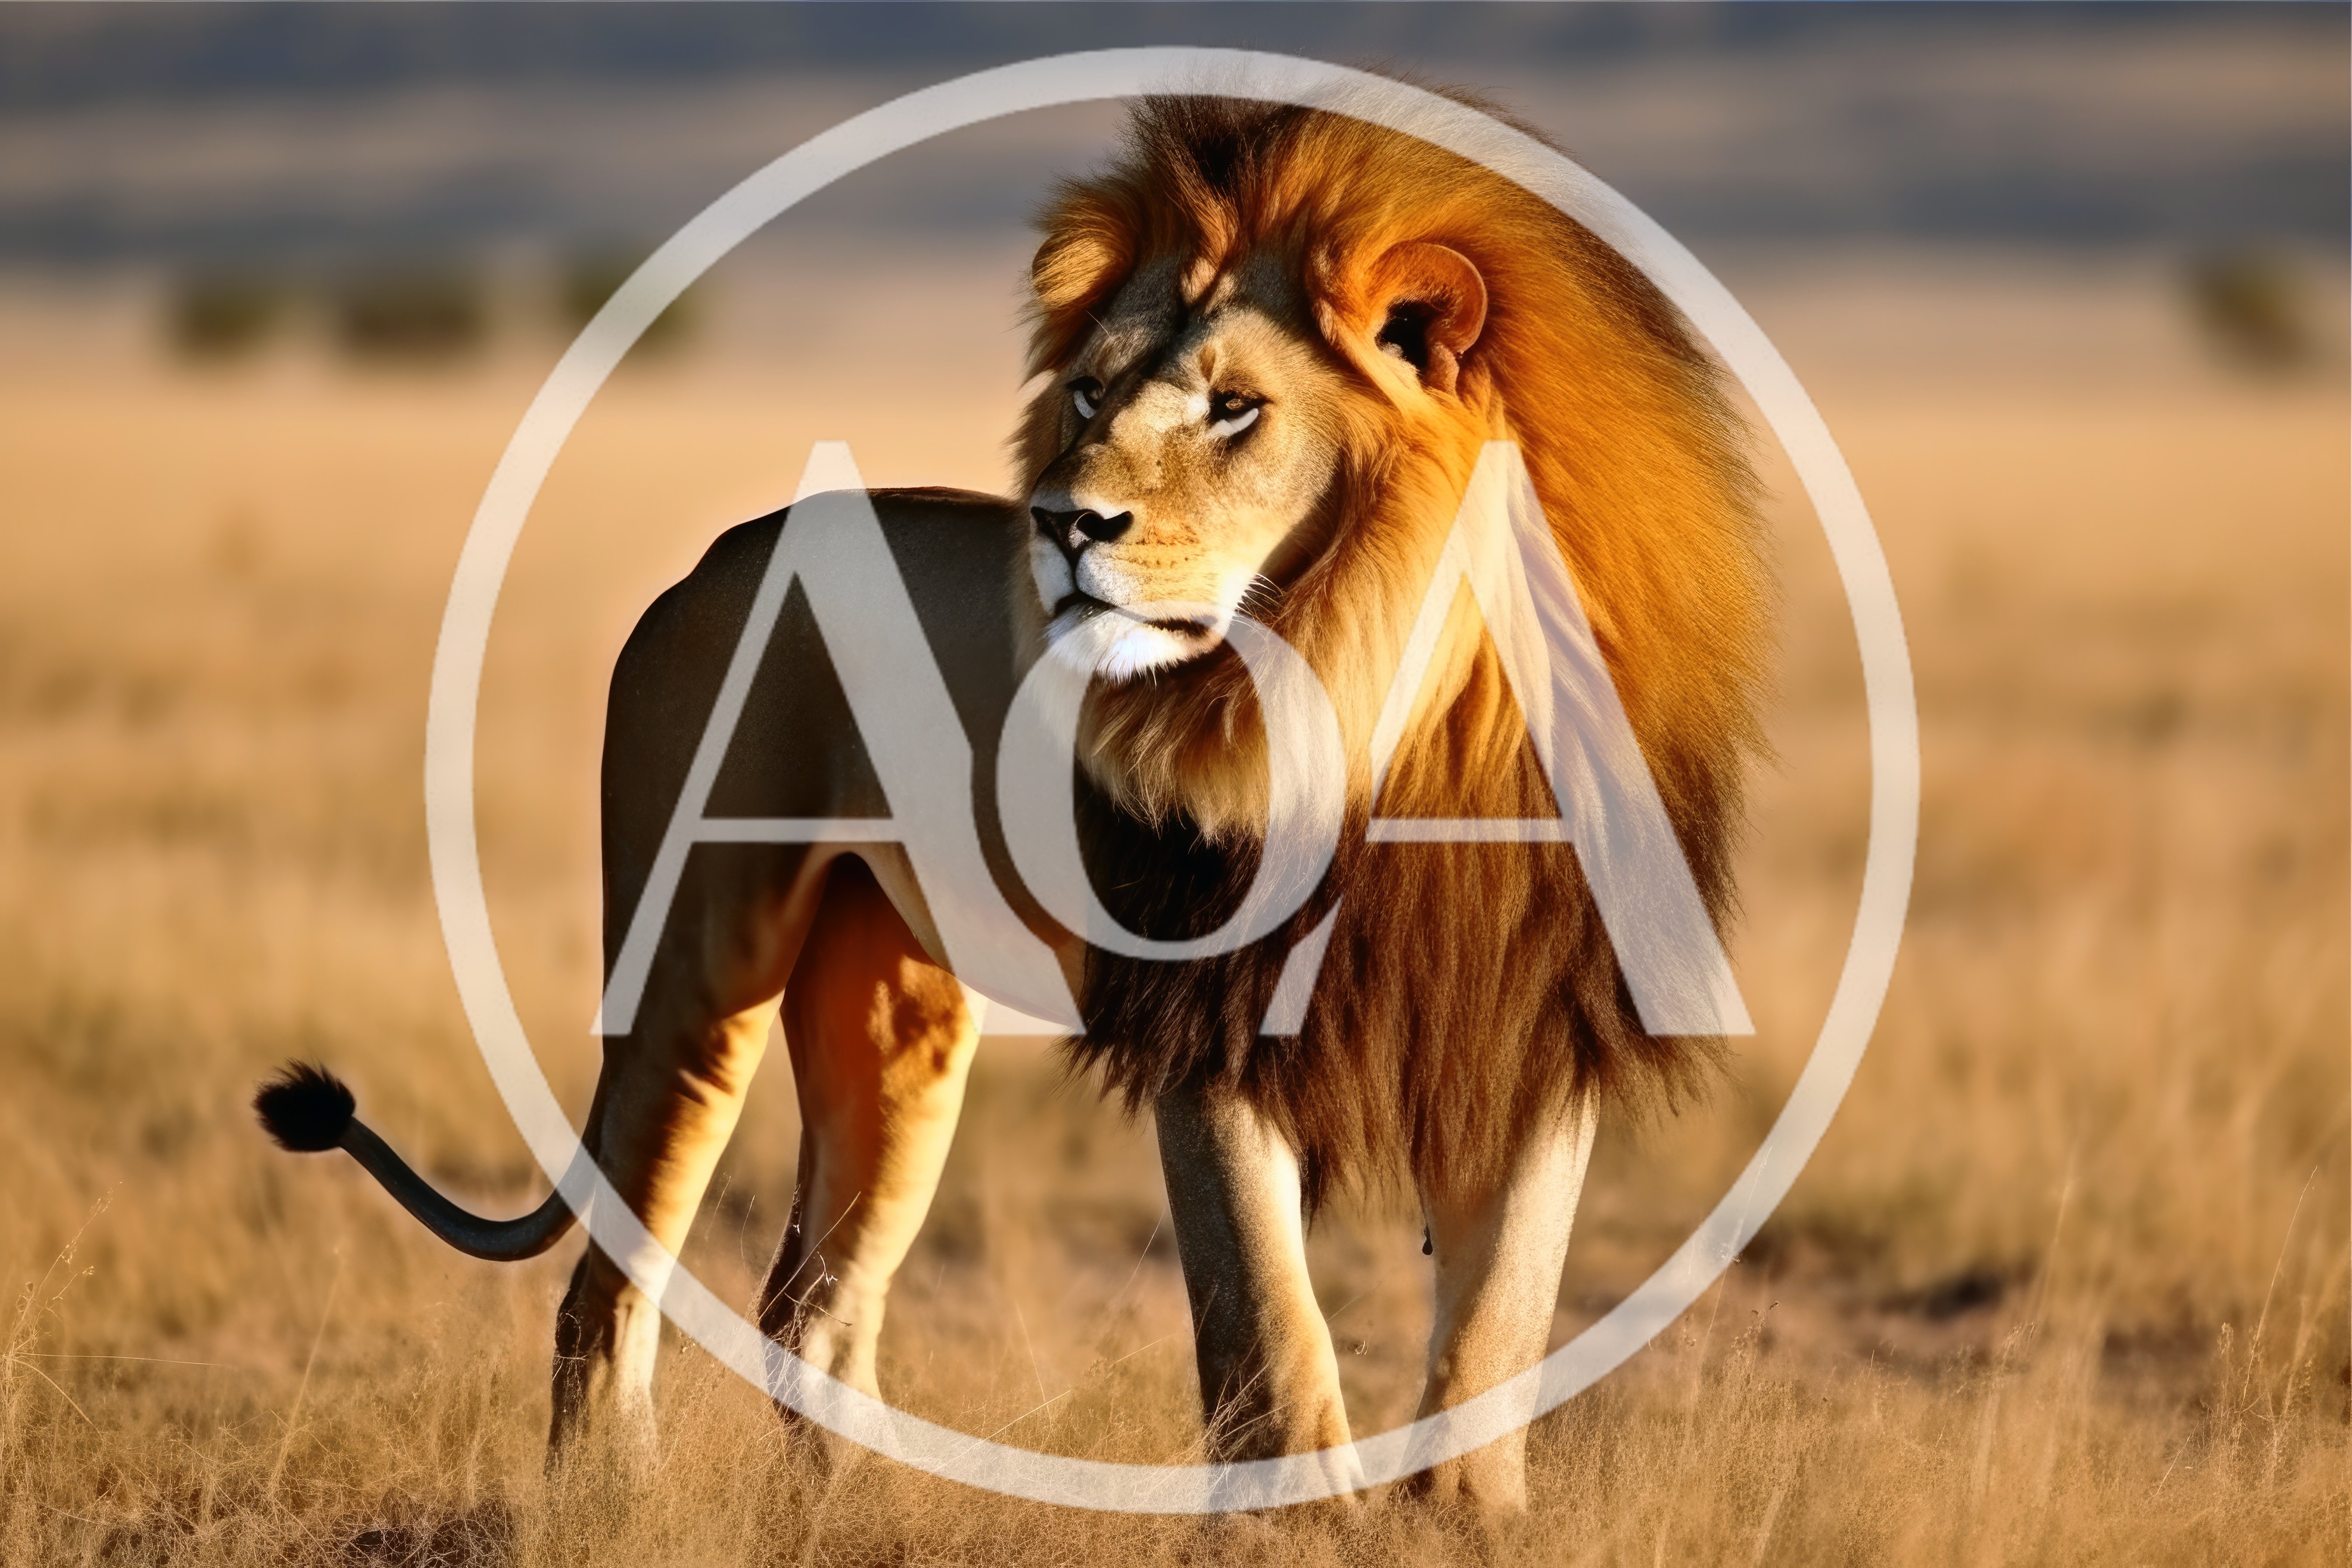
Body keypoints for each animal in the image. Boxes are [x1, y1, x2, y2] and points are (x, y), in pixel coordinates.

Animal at [256, 90, 1769, 1512]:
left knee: (812, 1302)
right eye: (1089, 399)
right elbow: (1268, 1327)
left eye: (1235, 407)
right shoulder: (1205, 1025)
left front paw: (1466, 1519)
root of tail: (712, 560)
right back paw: (614, 1502)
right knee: (611, 1281)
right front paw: (1307, 1523)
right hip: (701, 966)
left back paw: (858, 1515)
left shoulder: (1536, 1023)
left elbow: (1498, 1326)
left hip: (896, 1016)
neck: (1403, 711)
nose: (1062, 522)